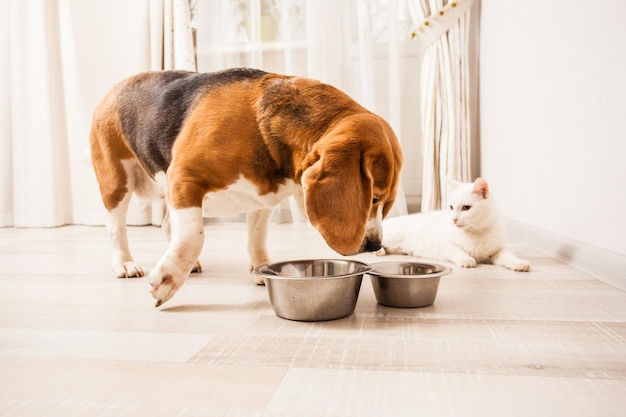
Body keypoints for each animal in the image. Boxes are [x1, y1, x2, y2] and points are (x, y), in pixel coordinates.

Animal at [89, 67, 400, 306]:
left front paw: (260, 268)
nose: (375, 244)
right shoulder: (185, 177)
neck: (262, 131)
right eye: (373, 199)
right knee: (115, 226)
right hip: (117, 180)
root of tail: (117, 86)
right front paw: (168, 279)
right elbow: (194, 236)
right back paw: (125, 263)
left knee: (167, 225)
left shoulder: (262, 198)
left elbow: (256, 238)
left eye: (385, 203)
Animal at [378, 177, 528, 272]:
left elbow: (508, 256)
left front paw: (519, 263)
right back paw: (378, 250)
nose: (453, 219)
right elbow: (457, 250)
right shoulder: (442, 244)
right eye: (451, 207)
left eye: (466, 208)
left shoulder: (497, 250)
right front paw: (467, 259)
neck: (475, 232)